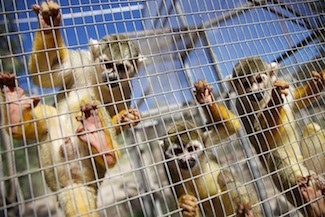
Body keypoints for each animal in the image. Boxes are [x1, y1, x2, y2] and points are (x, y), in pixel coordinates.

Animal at [0, 0, 142, 216]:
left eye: (121, 68)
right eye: (108, 64)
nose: (112, 77)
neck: (99, 79)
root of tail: (71, 185)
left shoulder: (125, 89)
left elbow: (115, 113)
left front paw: (125, 118)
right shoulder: (80, 62)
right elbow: (46, 72)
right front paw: (49, 22)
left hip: (93, 170)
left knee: (90, 104)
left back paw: (102, 145)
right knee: (52, 115)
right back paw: (15, 113)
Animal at [161, 81, 260, 217]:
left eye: (191, 149)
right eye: (178, 151)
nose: (186, 159)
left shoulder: (206, 142)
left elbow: (231, 125)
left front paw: (206, 99)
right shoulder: (168, 167)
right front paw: (189, 208)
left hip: (253, 200)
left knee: (224, 176)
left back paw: (246, 212)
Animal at [229, 56, 322, 216]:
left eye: (259, 79)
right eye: (246, 84)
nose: (253, 91)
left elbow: (297, 99)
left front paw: (319, 81)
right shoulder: (242, 106)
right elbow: (260, 139)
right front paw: (276, 99)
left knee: (312, 128)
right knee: (276, 157)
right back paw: (313, 201)